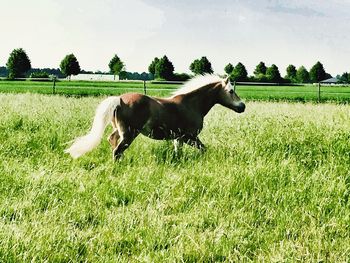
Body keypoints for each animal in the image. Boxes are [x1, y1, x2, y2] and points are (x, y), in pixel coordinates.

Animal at [65, 75, 246, 161]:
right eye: (231, 91)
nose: (242, 106)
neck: (191, 104)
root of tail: (119, 99)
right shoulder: (190, 137)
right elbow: (203, 149)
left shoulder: (178, 138)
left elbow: (178, 153)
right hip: (129, 134)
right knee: (117, 151)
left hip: (119, 130)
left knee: (113, 142)